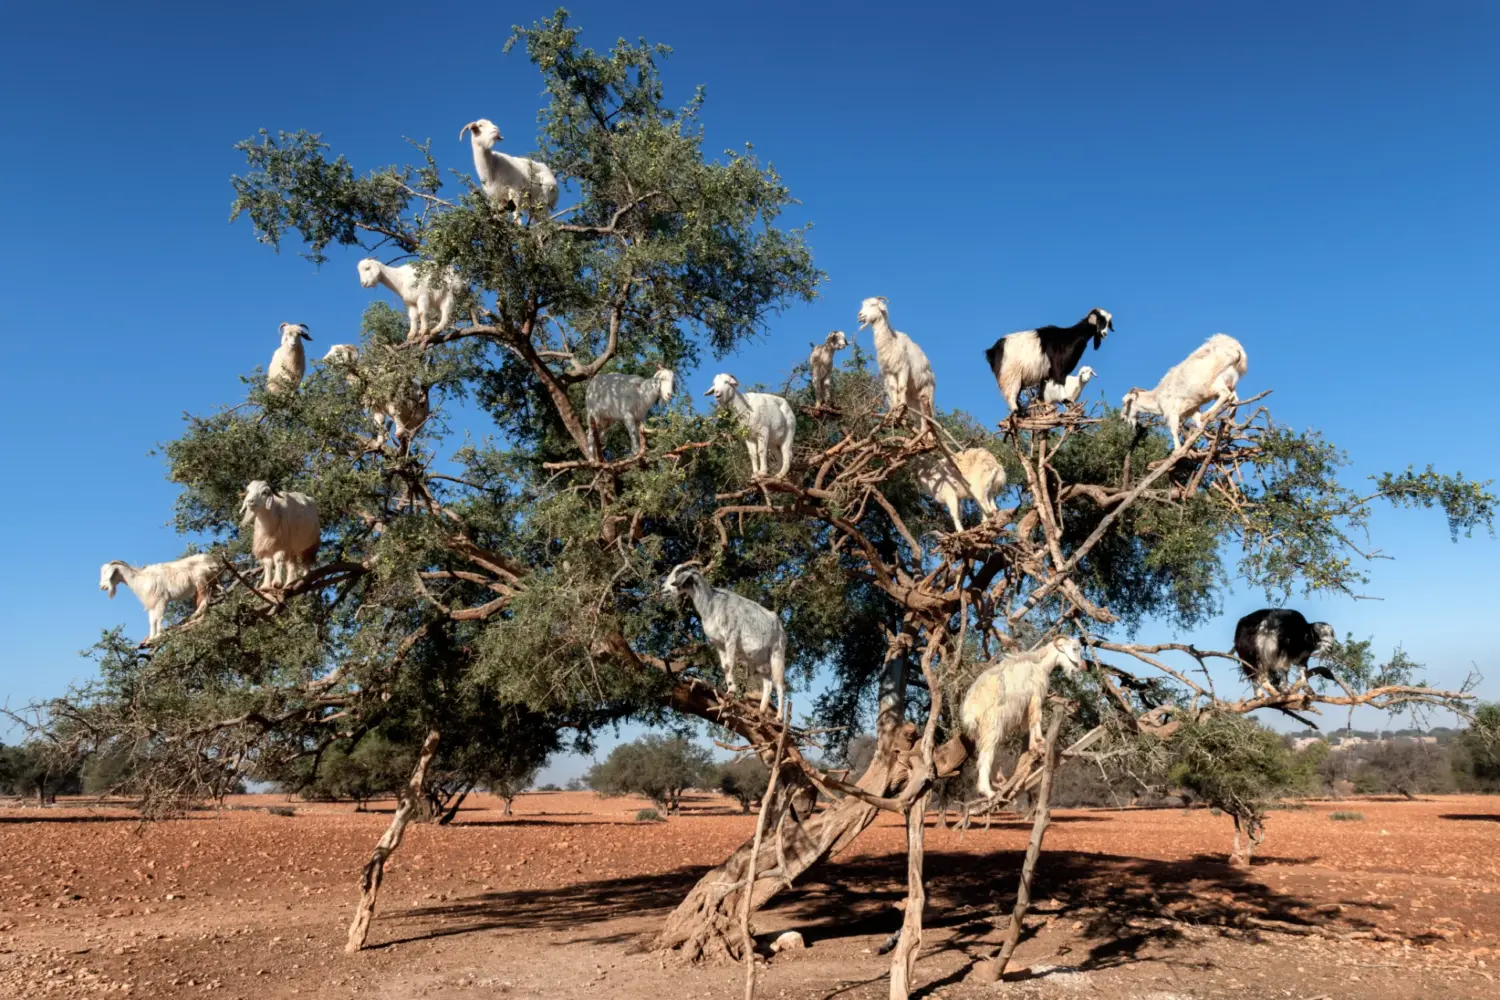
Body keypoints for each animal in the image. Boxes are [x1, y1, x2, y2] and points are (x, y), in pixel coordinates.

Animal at [662, 563, 787, 719]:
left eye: (678, 575)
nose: (663, 590)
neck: (711, 606)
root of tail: (780, 626)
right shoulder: (718, 643)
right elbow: (724, 666)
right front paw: (729, 690)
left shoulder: (731, 637)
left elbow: (729, 664)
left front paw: (731, 690)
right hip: (759, 660)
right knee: (768, 683)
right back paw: (761, 711)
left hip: (777, 653)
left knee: (779, 684)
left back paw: (779, 717)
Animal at [961, 636, 1084, 798]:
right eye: (1074, 648)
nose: (1078, 668)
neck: (1040, 663)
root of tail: (971, 707)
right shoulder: (1036, 695)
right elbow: (1036, 718)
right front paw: (1040, 741)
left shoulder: (1026, 706)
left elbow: (1028, 725)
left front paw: (1033, 746)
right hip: (991, 726)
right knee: (985, 757)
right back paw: (988, 792)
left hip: (979, 732)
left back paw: (999, 783)